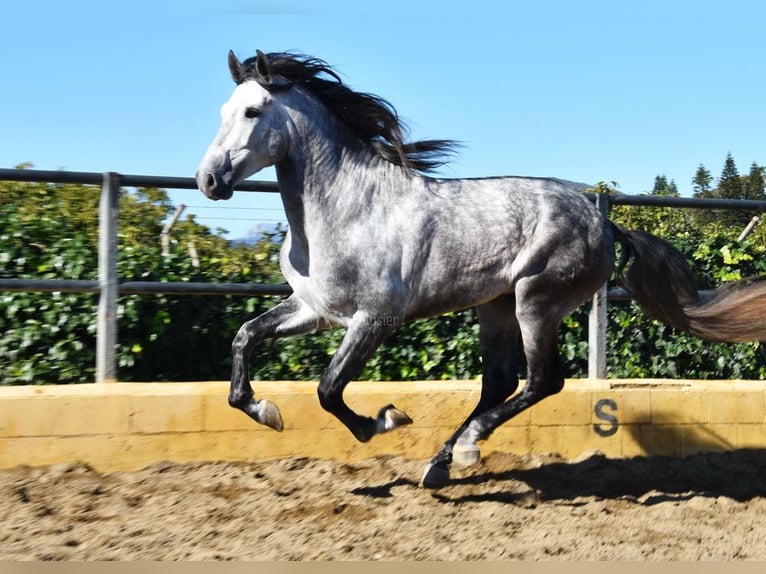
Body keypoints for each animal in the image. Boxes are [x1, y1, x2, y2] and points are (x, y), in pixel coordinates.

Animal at [198, 50, 766, 490]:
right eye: (222, 110)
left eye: (252, 111)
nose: (208, 180)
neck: (347, 208)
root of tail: (602, 220)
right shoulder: (314, 309)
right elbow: (245, 338)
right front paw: (266, 412)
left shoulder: (375, 319)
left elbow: (328, 388)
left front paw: (384, 420)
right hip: (496, 307)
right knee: (499, 383)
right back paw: (440, 465)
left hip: (536, 302)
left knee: (541, 381)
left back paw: (467, 448)